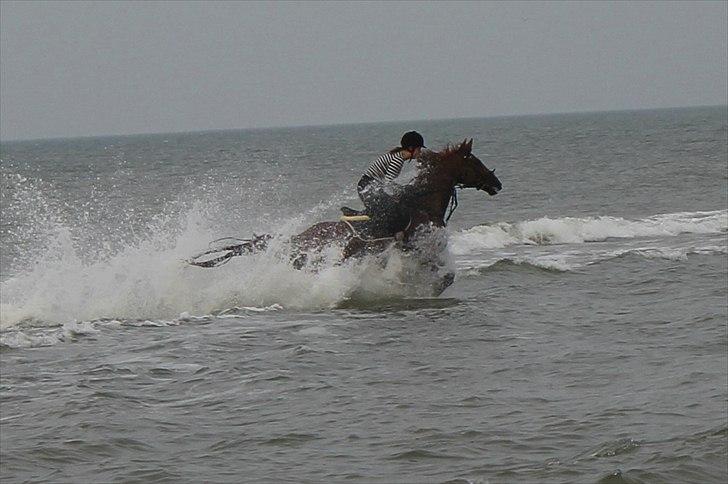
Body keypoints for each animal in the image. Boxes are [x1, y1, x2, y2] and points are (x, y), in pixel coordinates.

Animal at [188, 138, 500, 282]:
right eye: (474, 162)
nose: (496, 184)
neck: (422, 205)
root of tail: (296, 238)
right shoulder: (421, 245)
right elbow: (442, 272)